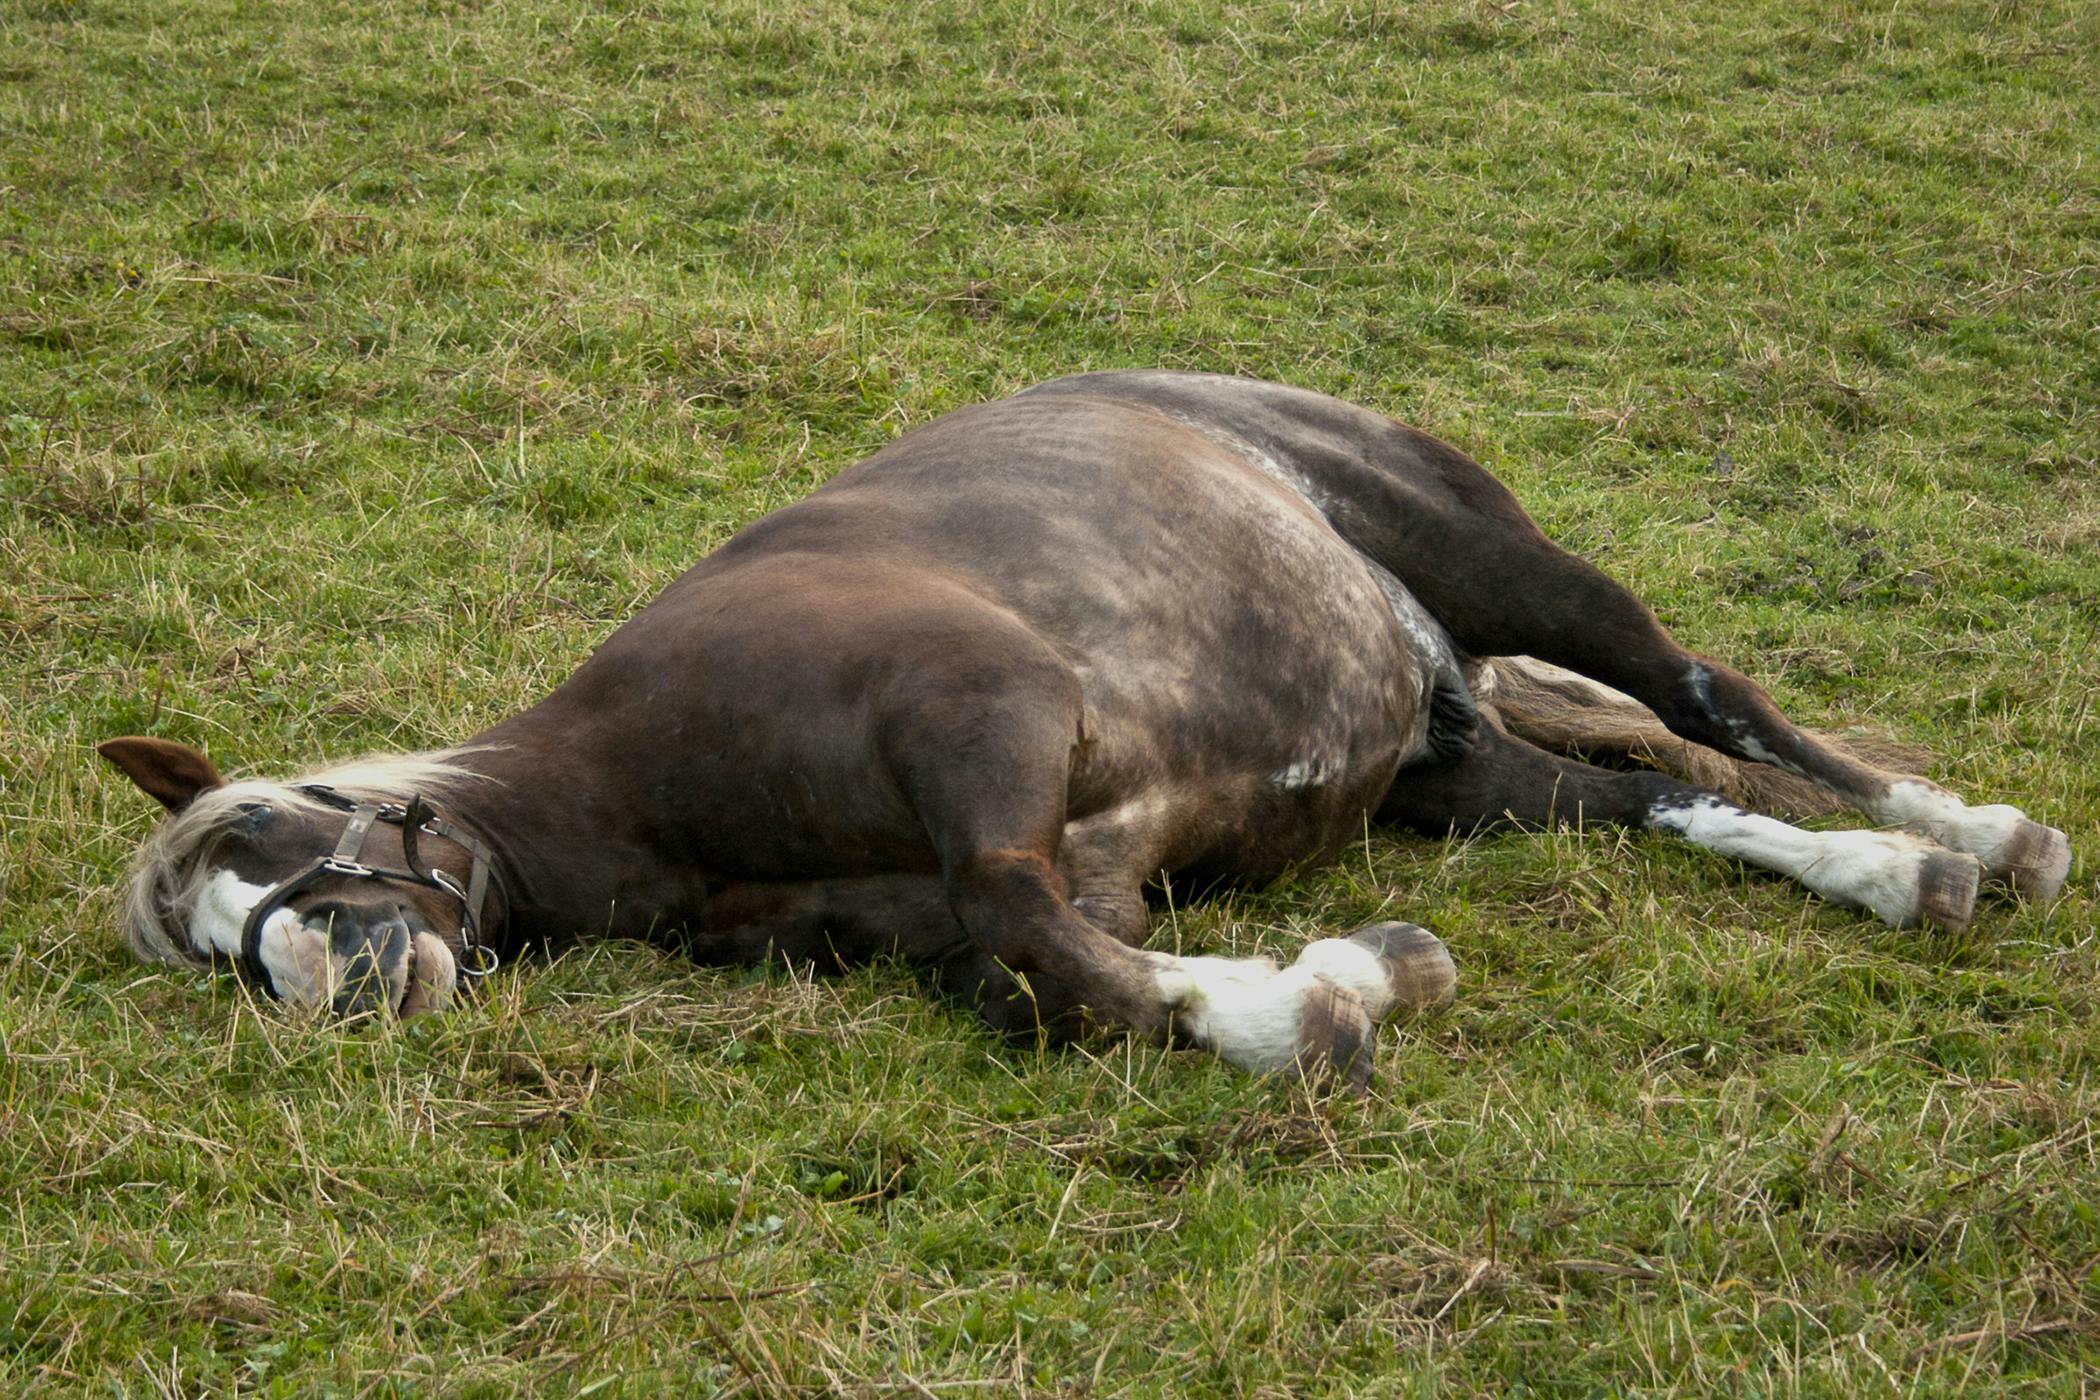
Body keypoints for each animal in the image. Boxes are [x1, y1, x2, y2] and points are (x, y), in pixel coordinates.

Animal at [94, 367, 2066, 1091]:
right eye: (204, 948)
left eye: (265, 828)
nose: (324, 982)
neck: (642, 785)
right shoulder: (1069, 871)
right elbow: (1048, 975)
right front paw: (1340, 979)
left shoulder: (996, 724)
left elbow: (1027, 925)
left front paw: (1322, 1004)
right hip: (1457, 770)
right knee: (1657, 794)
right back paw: (1888, 873)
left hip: (1513, 572)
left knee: (1711, 698)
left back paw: (1968, 832)